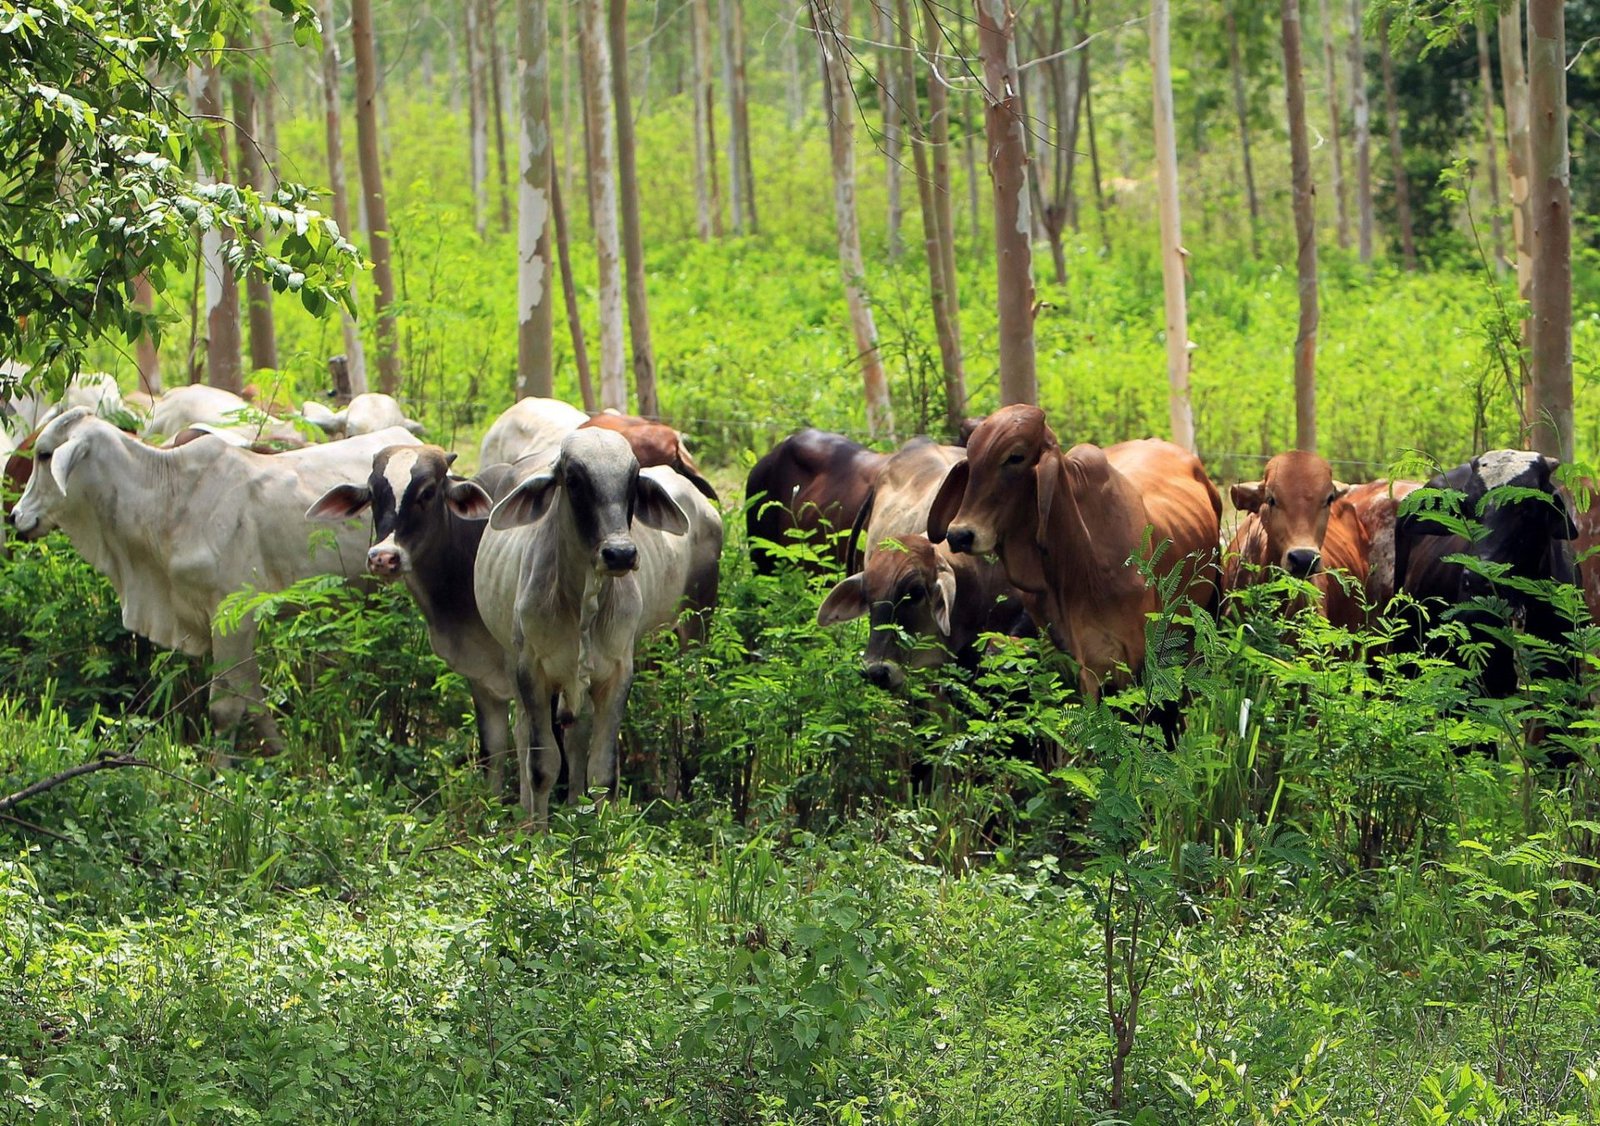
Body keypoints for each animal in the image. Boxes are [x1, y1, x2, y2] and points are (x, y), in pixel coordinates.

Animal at [12, 409, 422, 751]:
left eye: (44, 455)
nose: (16, 516)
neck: (167, 500)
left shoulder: (233, 617)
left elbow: (226, 708)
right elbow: (252, 700)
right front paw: (279, 754)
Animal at [467, 425, 720, 825]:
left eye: (633, 479)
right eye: (573, 480)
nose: (620, 554)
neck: (580, 600)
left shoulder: (617, 673)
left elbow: (602, 771)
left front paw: (602, 832)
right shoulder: (531, 670)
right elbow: (542, 766)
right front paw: (537, 834)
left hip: (696, 625)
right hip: (515, 657)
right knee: (523, 735)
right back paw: (529, 815)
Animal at [921, 404, 1216, 700]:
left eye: (1015, 457)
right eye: (970, 456)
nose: (959, 535)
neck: (1079, 561)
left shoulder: (1134, 654)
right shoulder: (1075, 661)